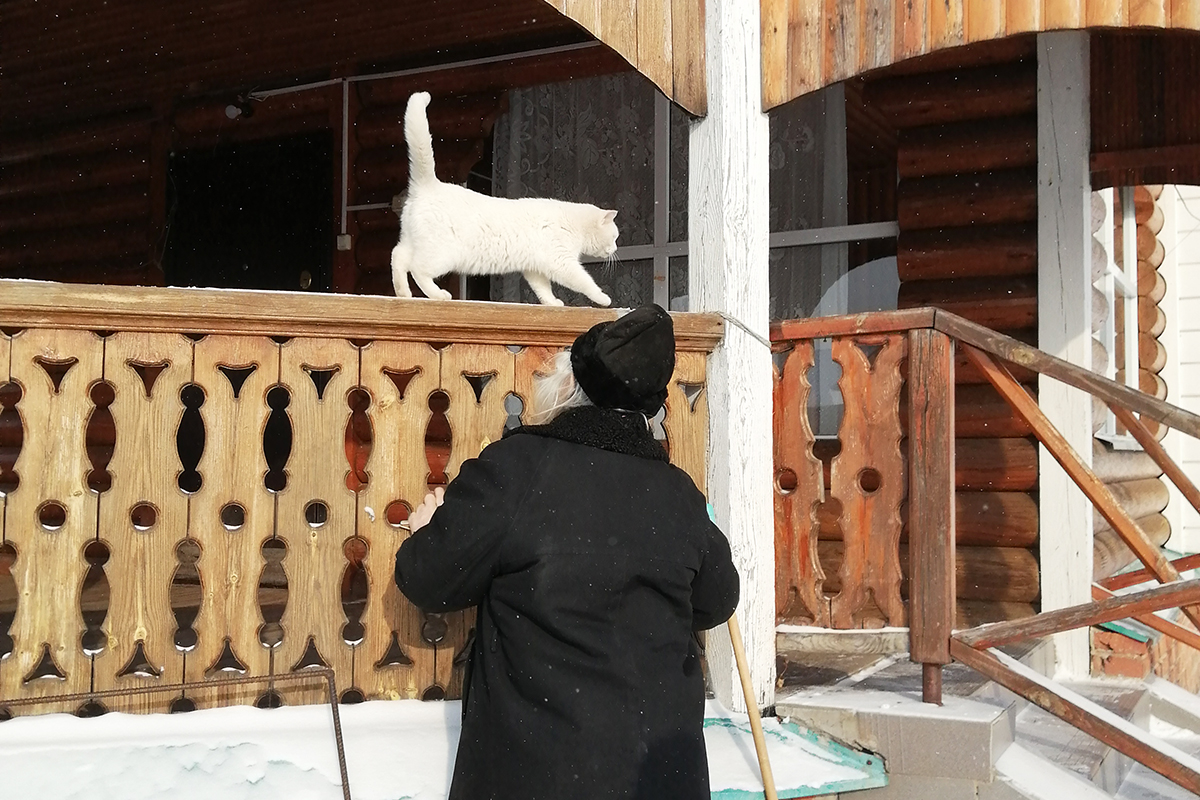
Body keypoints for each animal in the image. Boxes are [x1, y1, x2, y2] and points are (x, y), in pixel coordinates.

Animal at [391, 92, 619, 307]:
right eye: (615, 237)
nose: (616, 249)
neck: (572, 224)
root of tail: (429, 184)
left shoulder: (535, 269)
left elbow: (543, 290)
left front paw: (553, 303)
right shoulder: (562, 262)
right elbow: (585, 282)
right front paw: (604, 299)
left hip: (413, 241)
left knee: (397, 256)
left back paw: (403, 293)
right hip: (441, 254)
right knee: (418, 269)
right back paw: (438, 295)